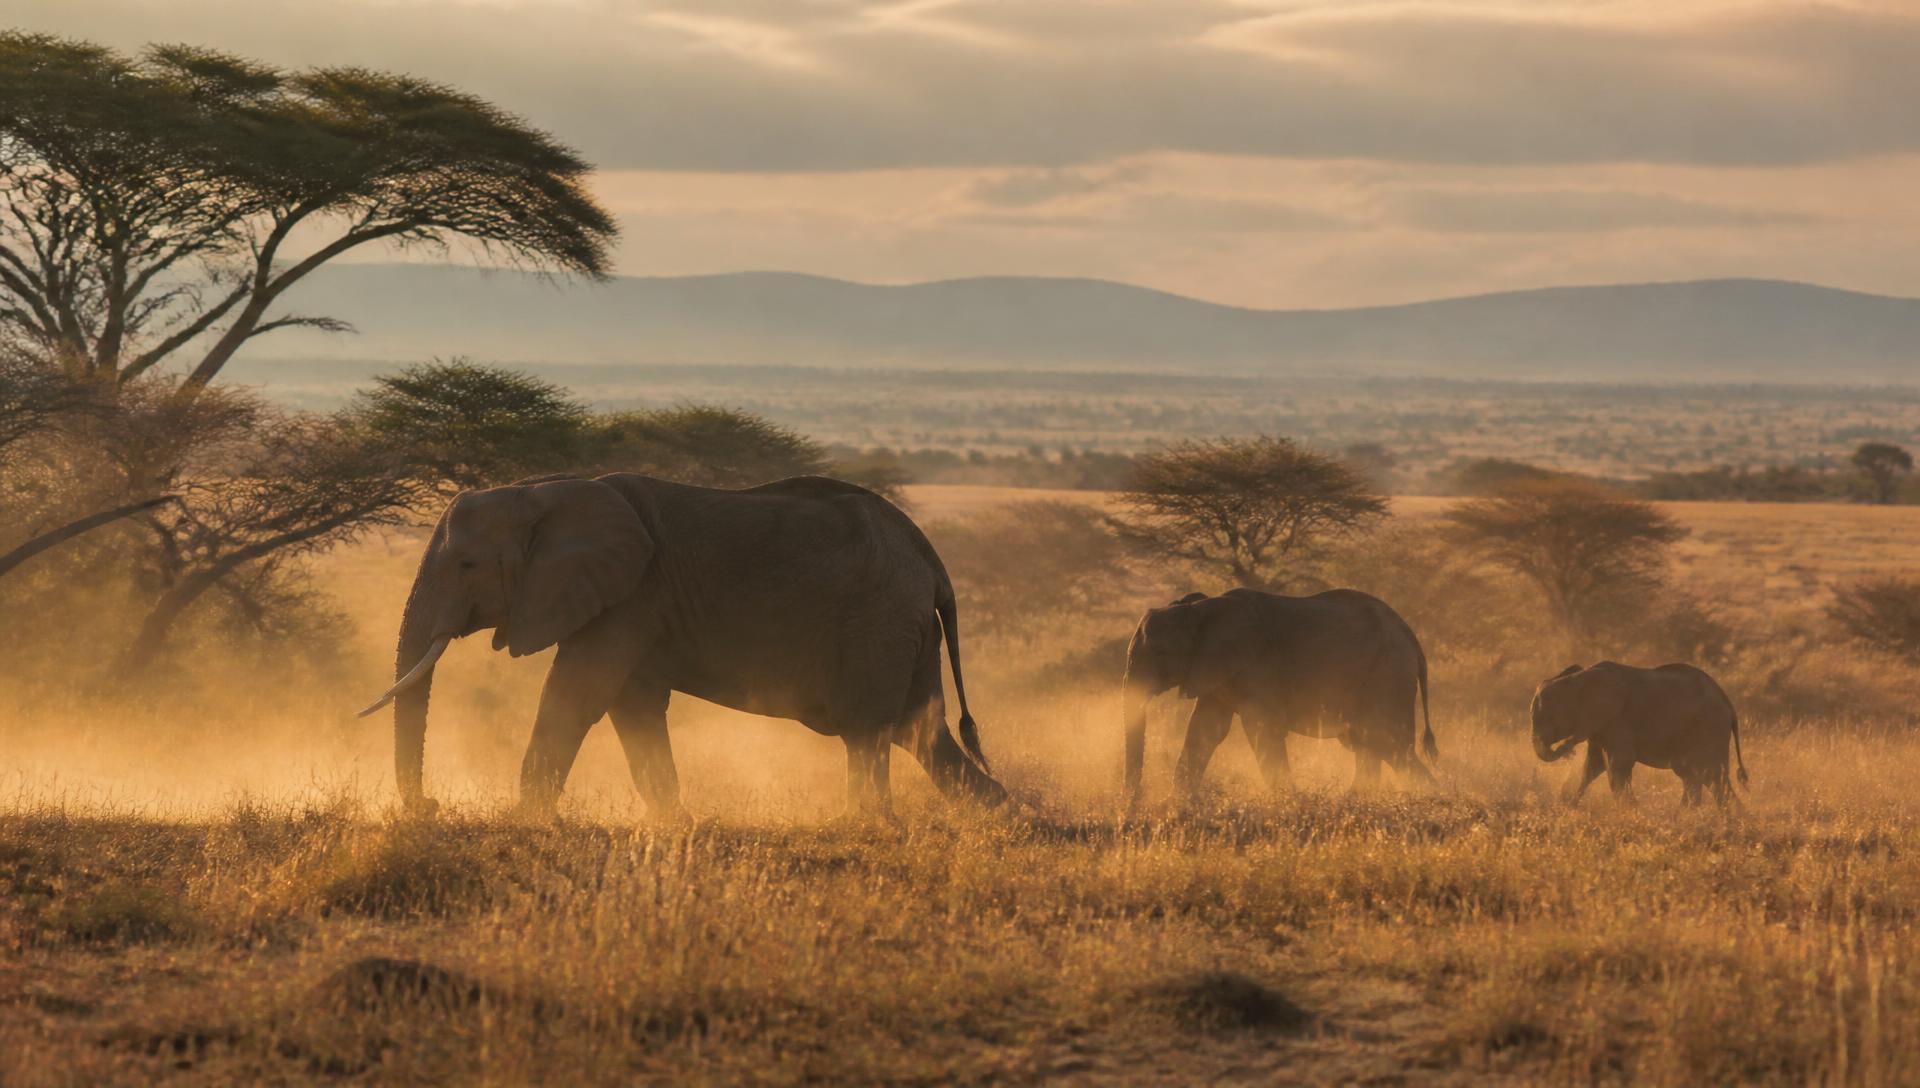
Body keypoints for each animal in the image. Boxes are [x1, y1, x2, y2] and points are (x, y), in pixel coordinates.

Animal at [356, 473, 1005, 817]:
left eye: (467, 565)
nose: (430, 807)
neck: (546, 489)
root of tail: (931, 559)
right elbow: (633, 707)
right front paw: (675, 823)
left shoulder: (629, 596)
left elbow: (575, 695)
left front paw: (525, 822)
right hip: (904, 627)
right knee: (920, 731)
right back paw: (1003, 816)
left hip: (878, 621)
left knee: (873, 733)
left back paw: (867, 827)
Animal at [1122, 588, 1438, 800]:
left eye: (1160, 653)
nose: (1134, 800)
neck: (1199, 608)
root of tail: (1410, 635)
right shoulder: (1216, 672)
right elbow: (1206, 729)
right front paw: (1177, 802)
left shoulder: (1257, 665)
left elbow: (1261, 728)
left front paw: (1289, 800)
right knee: (1368, 745)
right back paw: (1358, 800)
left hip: (1388, 676)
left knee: (1389, 744)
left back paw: (1429, 798)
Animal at [1530, 662, 1749, 806]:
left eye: (1545, 717)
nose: (1567, 748)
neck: (1578, 679)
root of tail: (1729, 705)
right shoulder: (1600, 725)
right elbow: (1592, 767)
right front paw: (1568, 806)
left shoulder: (1617, 720)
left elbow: (1618, 764)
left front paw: (1632, 811)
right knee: (1695, 776)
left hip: (1709, 730)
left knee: (1710, 776)